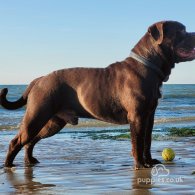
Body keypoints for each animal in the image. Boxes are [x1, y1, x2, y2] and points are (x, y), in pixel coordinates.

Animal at [1, 20, 195, 168]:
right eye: (182, 31)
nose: (193, 33)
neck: (148, 64)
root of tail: (39, 79)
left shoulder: (149, 116)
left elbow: (147, 141)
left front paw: (149, 161)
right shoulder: (138, 116)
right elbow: (138, 143)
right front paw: (140, 164)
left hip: (53, 122)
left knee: (30, 141)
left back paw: (29, 161)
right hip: (37, 116)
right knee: (17, 141)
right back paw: (9, 165)